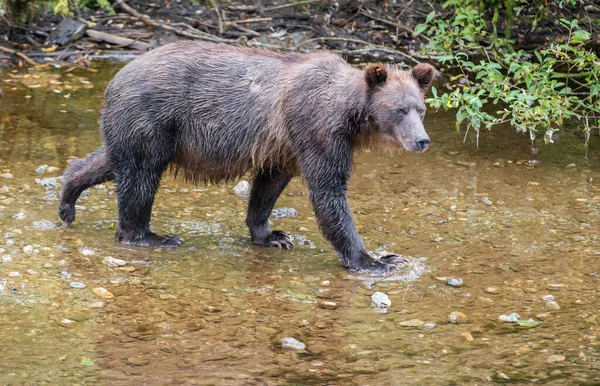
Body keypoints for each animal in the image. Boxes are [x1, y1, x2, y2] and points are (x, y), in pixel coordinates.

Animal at [59, 40, 436, 272]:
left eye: (421, 108)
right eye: (399, 110)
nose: (422, 140)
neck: (350, 116)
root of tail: (115, 79)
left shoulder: (284, 146)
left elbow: (269, 185)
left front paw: (272, 236)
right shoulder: (317, 130)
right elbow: (329, 191)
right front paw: (378, 259)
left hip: (134, 126)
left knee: (109, 160)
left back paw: (67, 200)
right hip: (154, 118)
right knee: (141, 176)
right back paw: (151, 236)